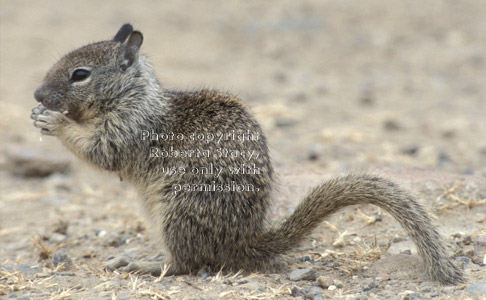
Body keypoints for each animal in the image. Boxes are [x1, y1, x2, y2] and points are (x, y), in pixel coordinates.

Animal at [32, 23, 466, 284]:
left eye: (80, 74)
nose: (36, 94)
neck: (133, 96)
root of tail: (244, 242)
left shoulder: (129, 130)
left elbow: (100, 152)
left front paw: (53, 122)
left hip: (178, 212)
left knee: (186, 263)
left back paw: (144, 263)